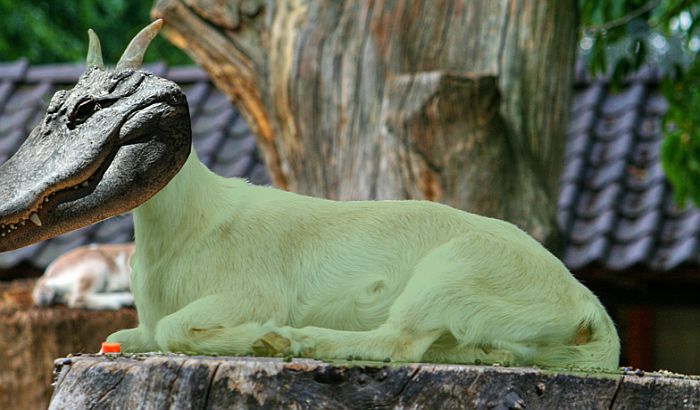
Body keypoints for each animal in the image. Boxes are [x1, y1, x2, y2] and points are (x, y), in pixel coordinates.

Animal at [0, 20, 616, 370]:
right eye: (57, 105)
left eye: (89, 109)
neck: (188, 228)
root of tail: (589, 307)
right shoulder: (141, 324)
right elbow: (126, 335)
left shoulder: (248, 292)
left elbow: (177, 330)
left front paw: (258, 338)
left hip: (453, 273)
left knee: (398, 342)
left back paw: (292, 342)